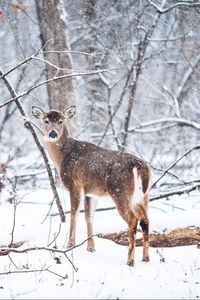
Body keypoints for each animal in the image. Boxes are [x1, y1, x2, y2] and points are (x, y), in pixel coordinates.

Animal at [32, 105, 152, 268]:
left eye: (61, 121)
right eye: (46, 120)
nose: (52, 133)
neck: (63, 157)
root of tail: (140, 167)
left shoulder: (74, 185)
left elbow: (74, 214)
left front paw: (70, 244)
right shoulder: (90, 192)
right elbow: (89, 217)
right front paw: (91, 247)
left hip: (120, 192)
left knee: (133, 220)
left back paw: (130, 261)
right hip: (143, 196)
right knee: (145, 220)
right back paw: (146, 258)